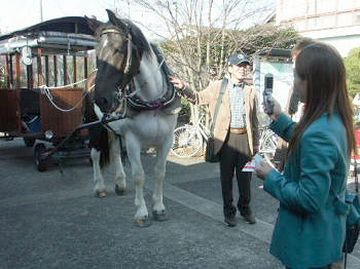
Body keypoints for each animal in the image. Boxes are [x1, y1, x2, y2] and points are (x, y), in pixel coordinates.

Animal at [84, 9, 180, 225]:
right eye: (96, 53)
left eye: (118, 49)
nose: (101, 99)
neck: (153, 101)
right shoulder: (133, 140)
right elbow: (139, 175)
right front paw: (142, 212)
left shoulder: (167, 139)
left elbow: (160, 172)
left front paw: (159, 208)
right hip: (94, 125)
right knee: (95, 154)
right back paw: (99, 187)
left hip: (112, 128)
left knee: (114, 152)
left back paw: (120, 183)